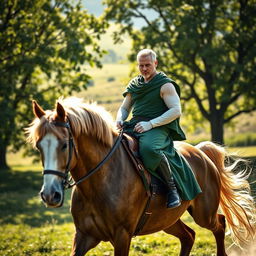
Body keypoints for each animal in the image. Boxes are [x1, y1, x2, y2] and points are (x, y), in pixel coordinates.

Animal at [26, 97, 256, 255]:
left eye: (64, 145)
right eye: (38, 146)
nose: (50, 195)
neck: (100, 181)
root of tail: (202, 154)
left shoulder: (122, 236)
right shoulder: (83, 236)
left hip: (203, 214)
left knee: (220, 224)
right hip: (167, 220)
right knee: (189, 236)